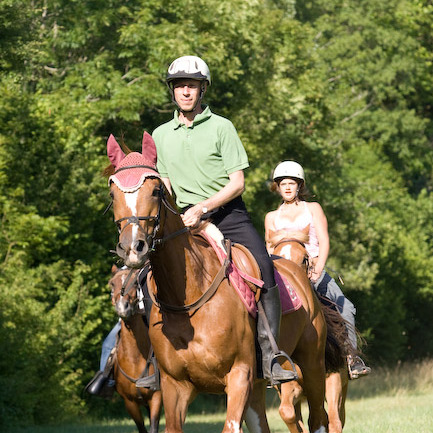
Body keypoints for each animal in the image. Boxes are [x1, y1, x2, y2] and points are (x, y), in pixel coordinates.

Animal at [109, 264, 162, 432]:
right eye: (111, 284)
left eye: (135, 284)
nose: (122, 307)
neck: (135, 359)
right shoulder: (130, 403)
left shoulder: (156, 397)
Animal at [270, 231, 348, 432]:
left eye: (305, 259)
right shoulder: (290, 388)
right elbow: (287, 413)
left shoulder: (332, 380)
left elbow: (332, 420)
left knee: (336, 418)